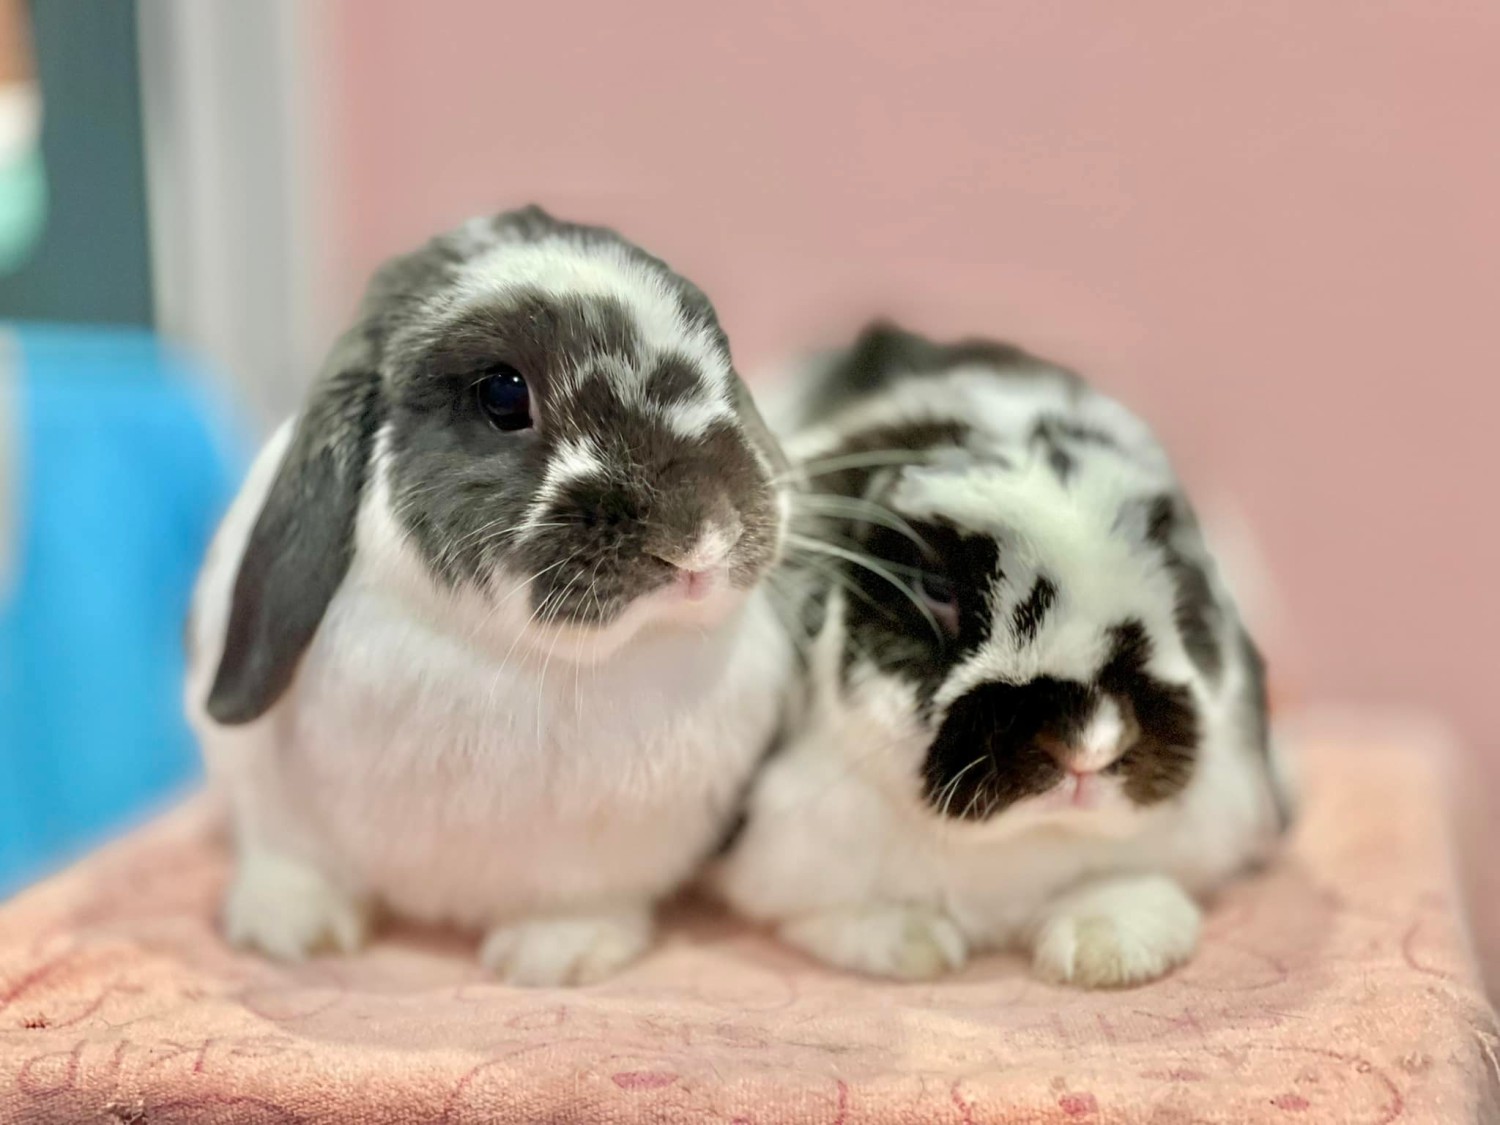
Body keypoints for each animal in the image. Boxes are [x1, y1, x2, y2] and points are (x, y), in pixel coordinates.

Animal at [186, 206, 795, 986]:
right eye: (503, 395)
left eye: (724, 353)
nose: (700, 537)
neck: (508, 656)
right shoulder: (271, 809)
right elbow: (289, 861)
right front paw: (291, 930)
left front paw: (559, 957)